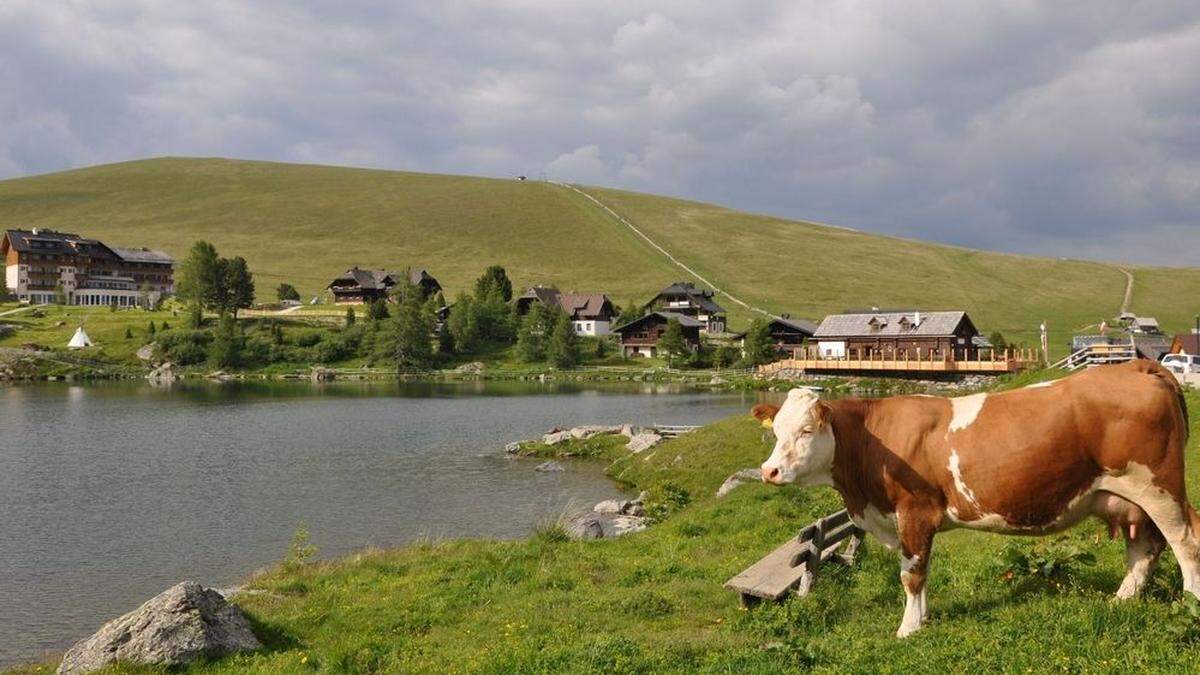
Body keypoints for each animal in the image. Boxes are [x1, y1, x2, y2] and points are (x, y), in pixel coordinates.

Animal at [753, 360, 1195, 634]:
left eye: (806, 431)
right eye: (776, 430)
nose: (768, 471)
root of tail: (1136, 366)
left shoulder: (914, 511)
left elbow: (911, 574)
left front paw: (907, 627)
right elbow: (922, 570)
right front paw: (923, 619)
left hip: (1159, 487)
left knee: (1186, 542)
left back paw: (1191, 604)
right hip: (1129, 496)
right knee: (1145, 548)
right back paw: (1121, 601)